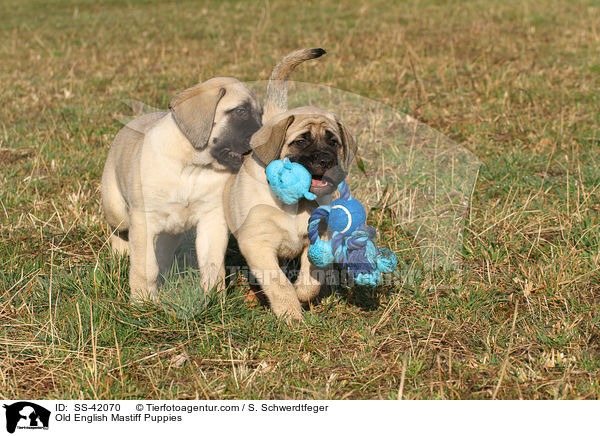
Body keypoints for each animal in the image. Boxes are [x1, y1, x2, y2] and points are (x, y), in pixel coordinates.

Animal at [225, 106, 356, 320]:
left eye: (333, 142)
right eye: (301, 142)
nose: (326, 160)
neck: (297, 202)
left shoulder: (320, 236)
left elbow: (314, 273)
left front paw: (303, 292)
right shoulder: (257, 244)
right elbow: (279, 283)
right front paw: (291, 314)